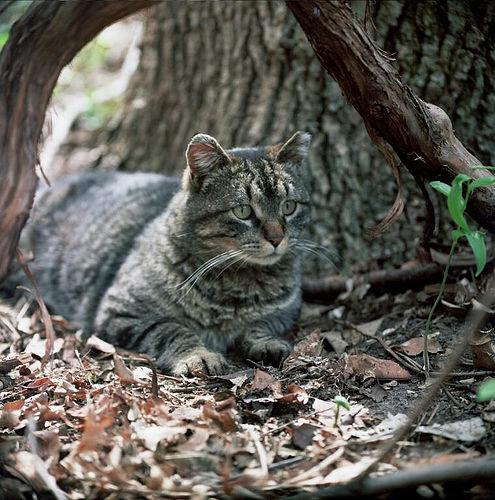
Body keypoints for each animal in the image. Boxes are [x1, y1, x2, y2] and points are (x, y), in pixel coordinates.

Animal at [21, 131, 314, 374]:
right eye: (243, 211)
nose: (277, 238)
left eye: (289, 207)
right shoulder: (122, 311)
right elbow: (171, 329)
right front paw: (198, 355)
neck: (238, 284)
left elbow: (260, 325)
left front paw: (267, 343)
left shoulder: (284, 314)